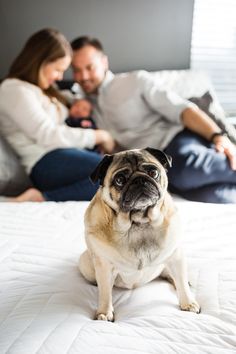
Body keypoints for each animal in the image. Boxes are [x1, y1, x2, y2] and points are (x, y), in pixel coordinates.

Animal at [78, 147, 200, 320]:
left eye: (153, 172)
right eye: (120, 180)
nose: (139, 180)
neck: (139, 223)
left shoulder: (176, 256)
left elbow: (181, 282)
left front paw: (188, 303)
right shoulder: (103, 266)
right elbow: (105, 293)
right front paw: (104, 313)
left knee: (170, 274)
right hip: (86, 265)